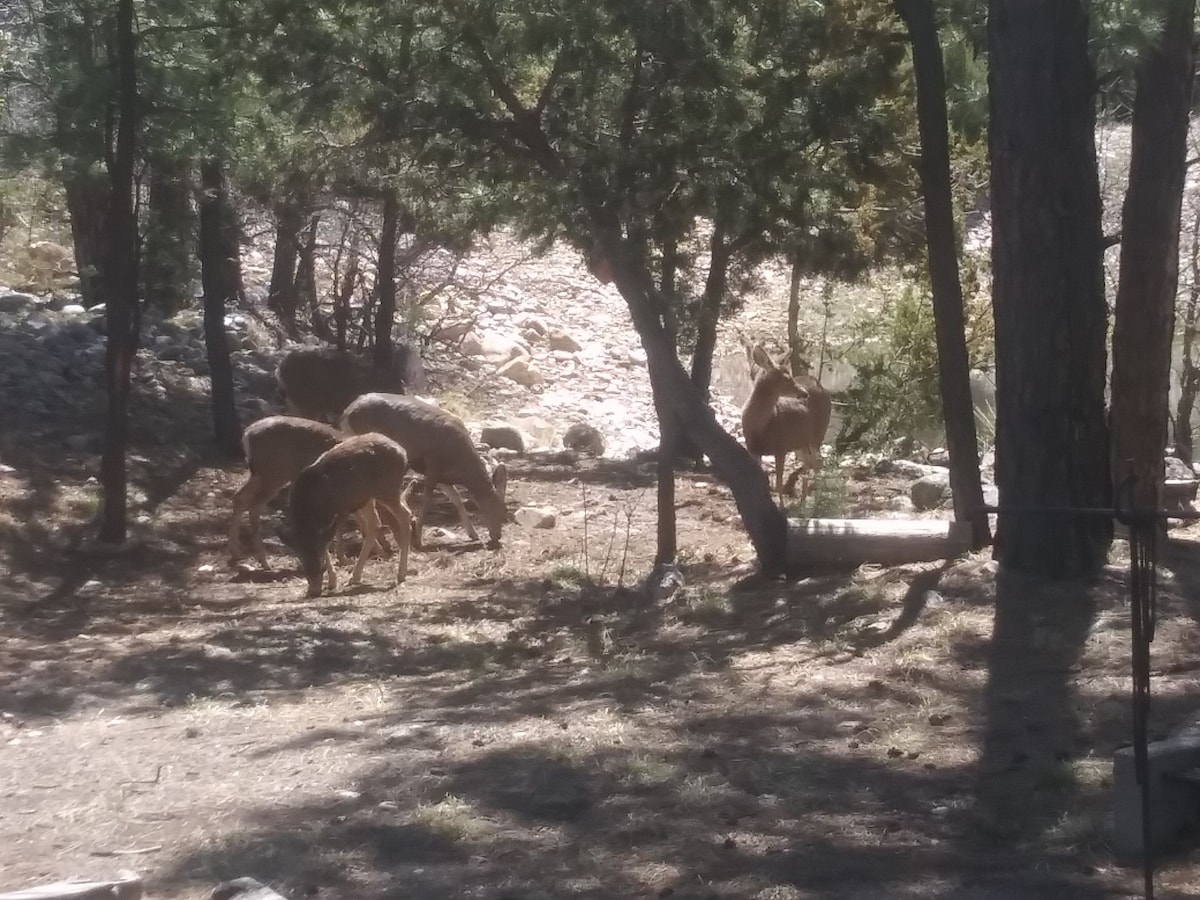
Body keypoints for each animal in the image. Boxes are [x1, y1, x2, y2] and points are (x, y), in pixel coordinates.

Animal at [226, 417, 391, 571]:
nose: (390, 547)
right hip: (273, 474)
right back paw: (264, 561)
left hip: (260, 475)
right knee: (254, 507)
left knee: (239, 497)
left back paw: (236, 553)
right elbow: (361, 522)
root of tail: (247, 435)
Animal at [285, 434, 412, 600]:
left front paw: (332, 580)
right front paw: (331, 582)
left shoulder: (333, 514)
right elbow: (325, 545)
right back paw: (356, 576)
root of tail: (403, 453)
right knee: (375, 524)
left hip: (387, 488)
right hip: (366, 497)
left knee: (404, 514)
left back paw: (401, 573)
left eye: (321, 568)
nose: (314, 591)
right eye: (304, 569)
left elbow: (327, 544)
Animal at [340, 393, 508, 549]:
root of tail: (346, 414)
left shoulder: (442, 477)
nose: (497, 536)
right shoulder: (432, 466)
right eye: (499, 509)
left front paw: (473, 534)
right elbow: (427, 501)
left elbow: (457, 499)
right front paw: (418, 540)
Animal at [739, 340, 835, 508]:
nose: (804, 393)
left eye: (790, 375)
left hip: (817, 434)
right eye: (786, 378)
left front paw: (781, 507)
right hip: (799, 443)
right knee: (809, 463)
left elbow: (778, 481)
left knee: (817, 463)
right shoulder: (753, 448)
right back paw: (802, 501)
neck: (760, 426)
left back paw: (814, 501)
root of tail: (819, 384)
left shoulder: (781, 446)